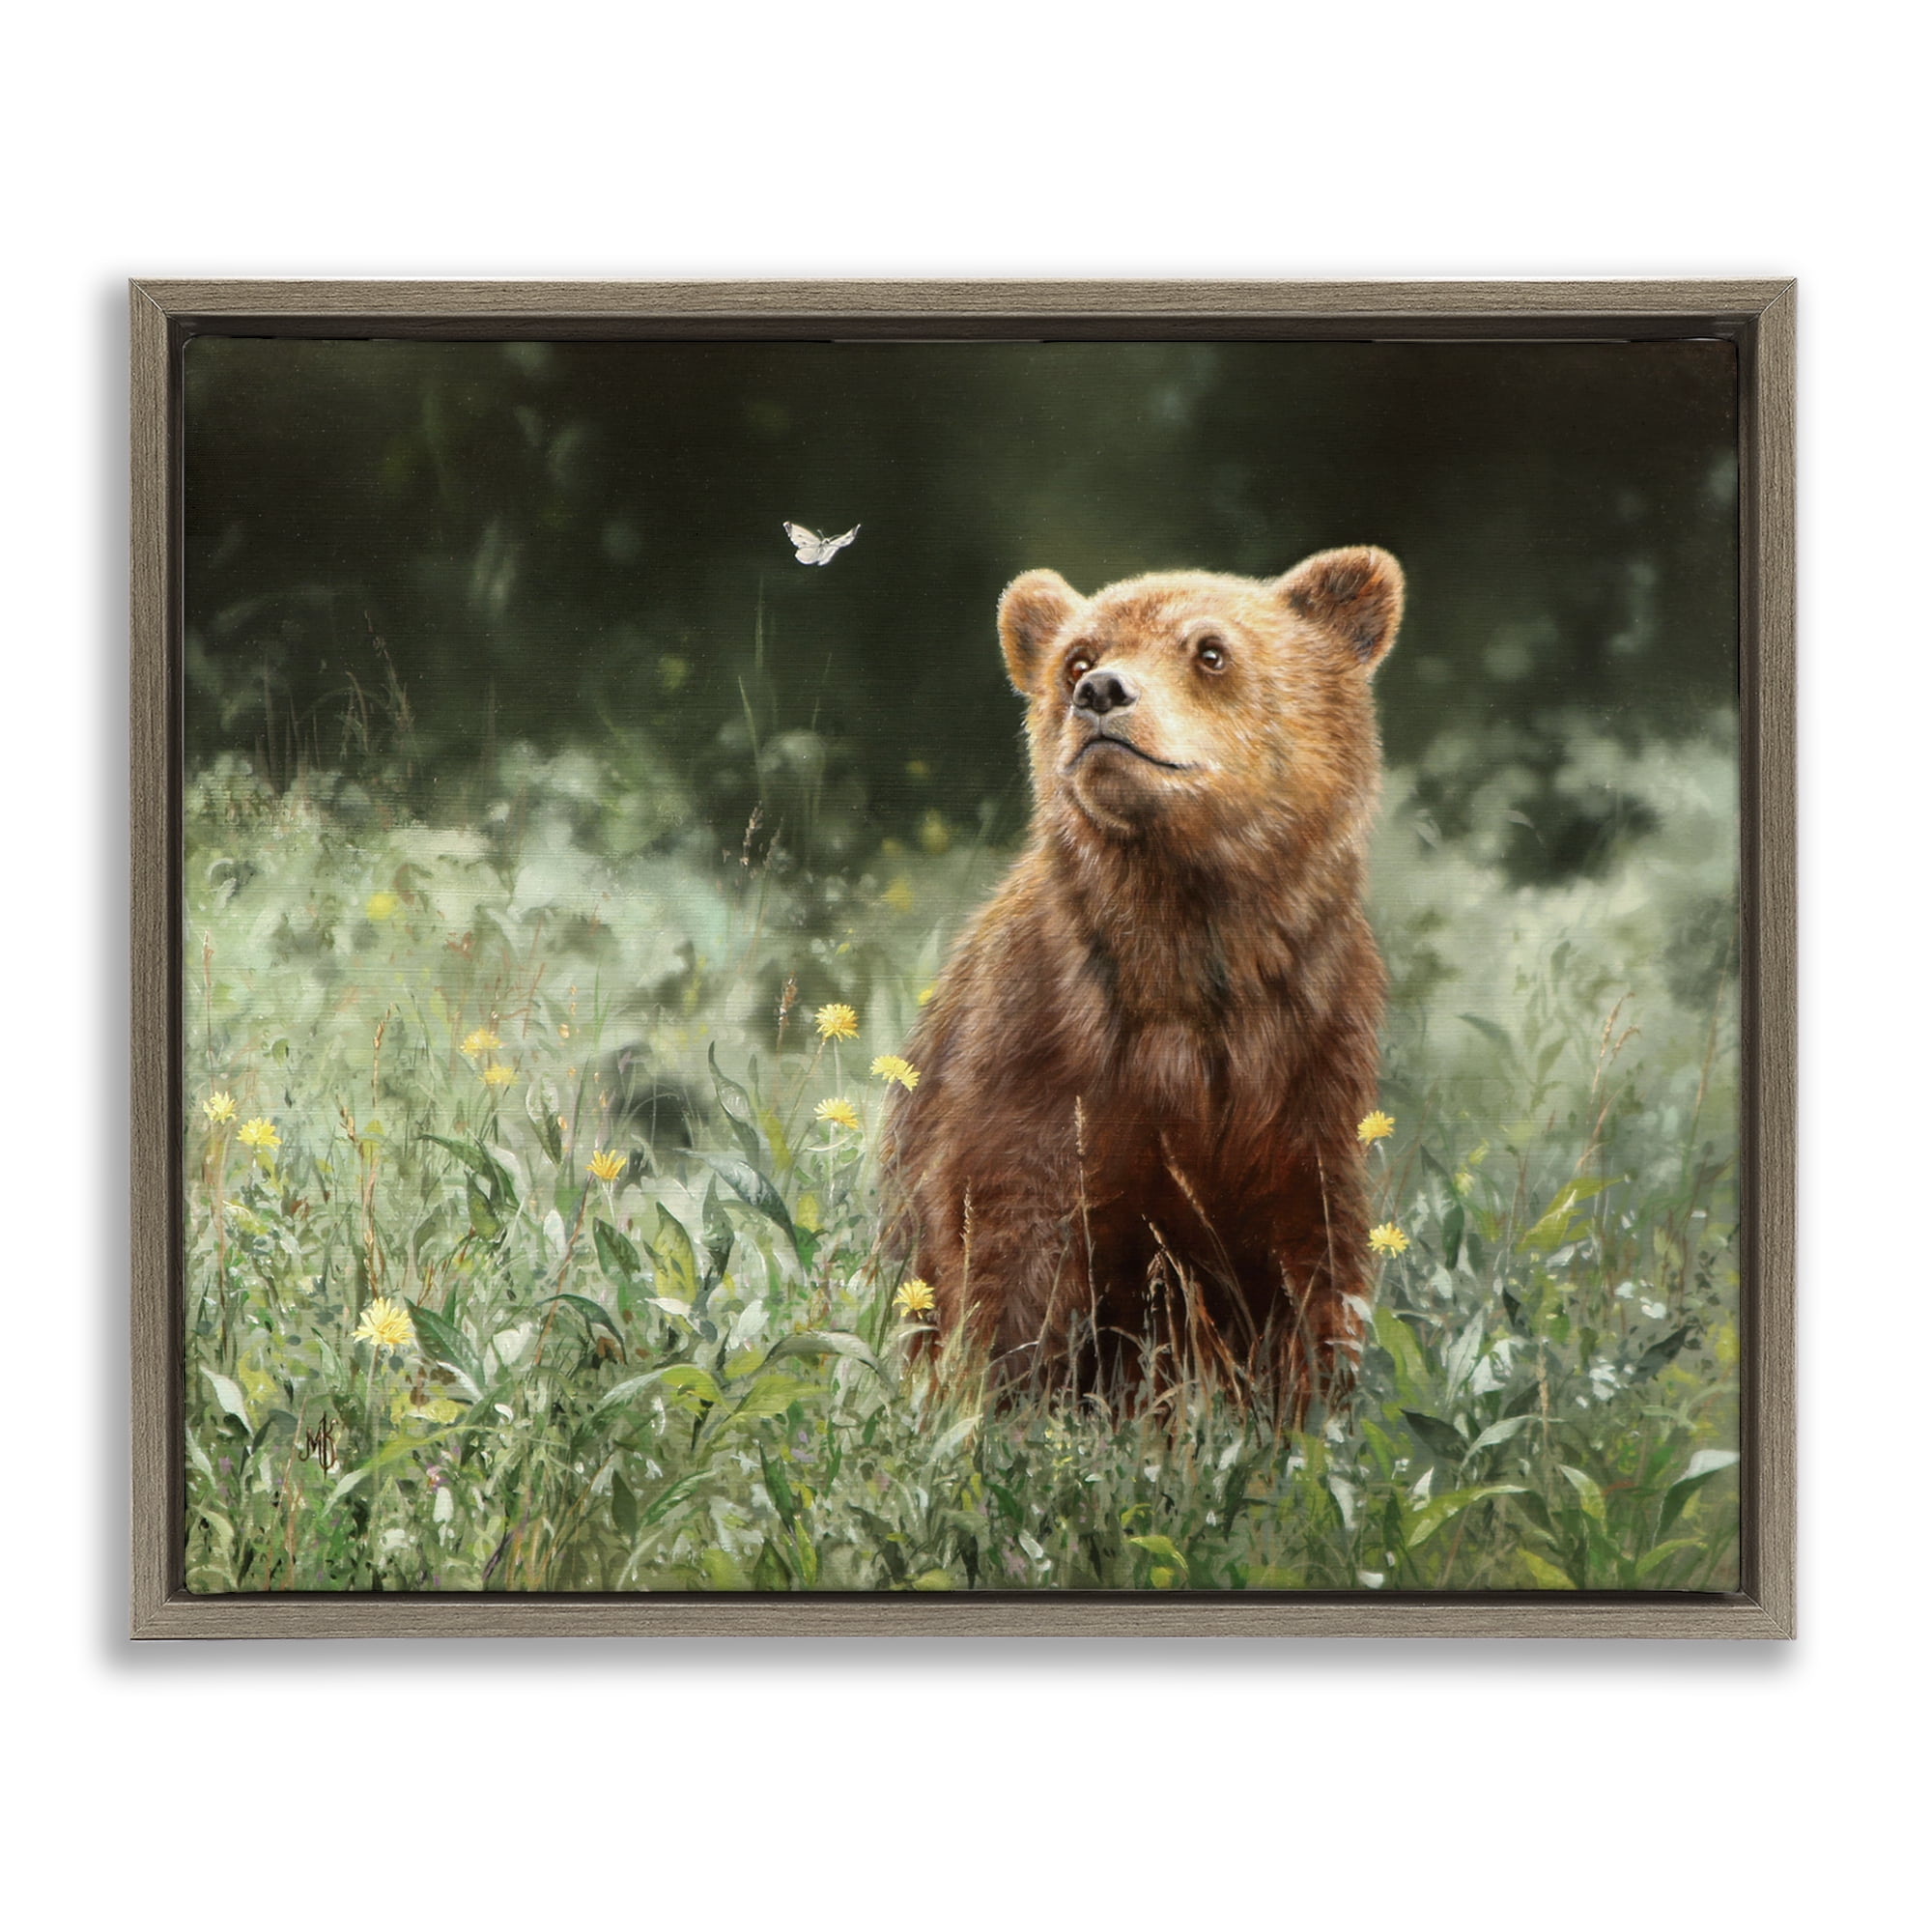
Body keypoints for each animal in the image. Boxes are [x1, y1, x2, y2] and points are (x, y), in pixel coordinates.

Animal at [881, 547, 1403, 1416]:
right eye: (1076, 656)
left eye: (1210, 650)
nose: (1101, 692)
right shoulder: (1040, 1052)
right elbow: (1007, 1246)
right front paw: (1008, 1401)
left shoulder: (1307, 1058)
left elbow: (1308, 1261)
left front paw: (1302, 1407)